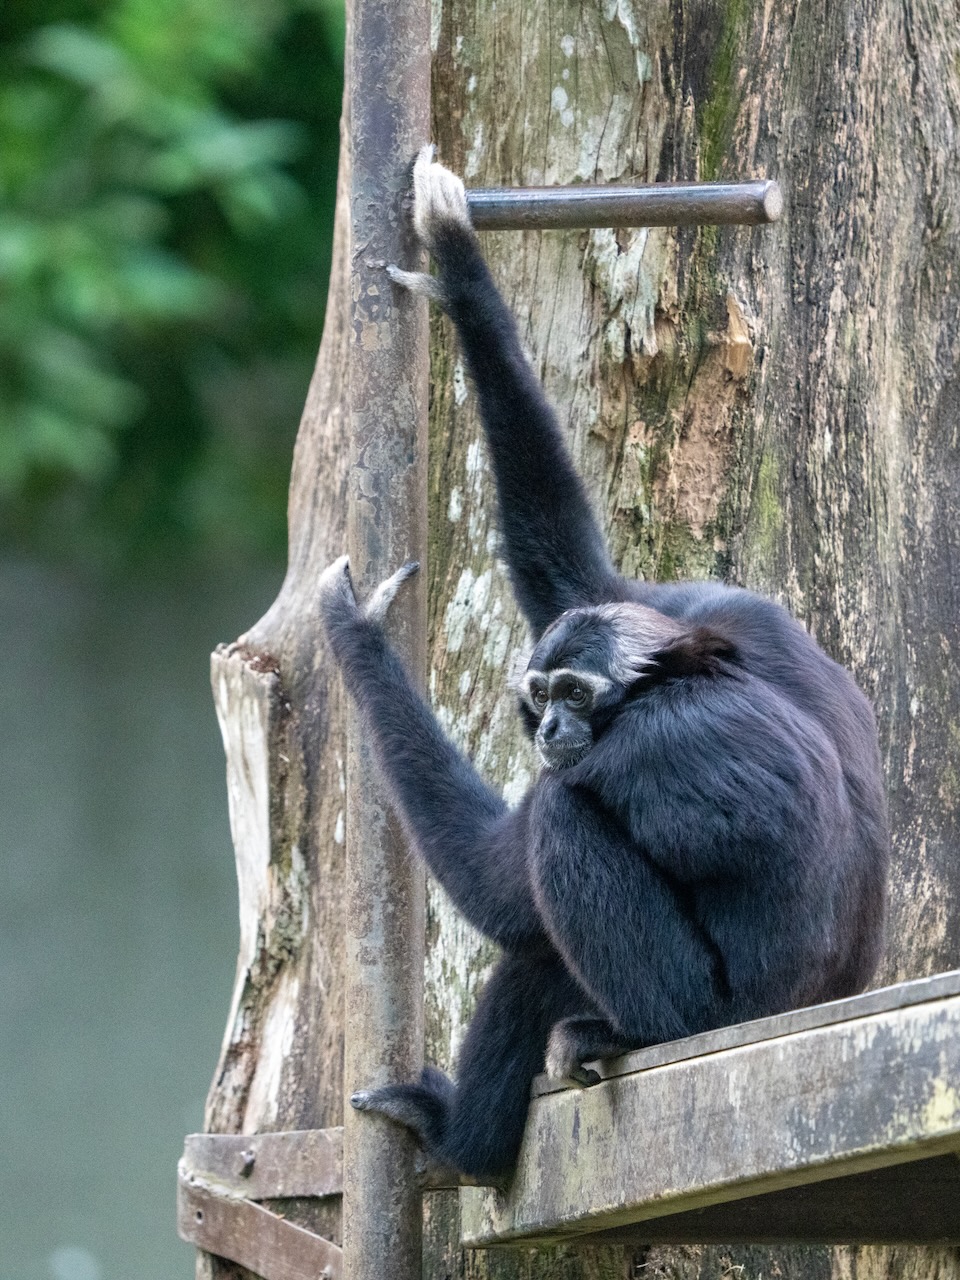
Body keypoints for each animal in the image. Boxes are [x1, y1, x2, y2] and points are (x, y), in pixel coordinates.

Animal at [317, 148, 889, 1182]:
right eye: (542, 692)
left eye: (578, 697)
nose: (550, 725)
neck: (683, 675)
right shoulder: (729, 610)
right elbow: (574, 571)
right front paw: (461, 277)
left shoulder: (647, 747)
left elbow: (502, 884)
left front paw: (360, 634)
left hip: (697, 1008)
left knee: (557, 851)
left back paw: (472, 1134)